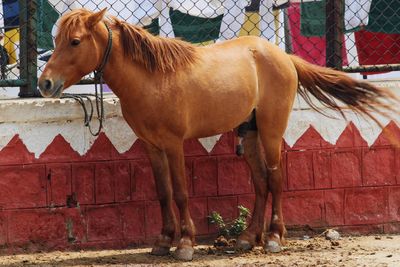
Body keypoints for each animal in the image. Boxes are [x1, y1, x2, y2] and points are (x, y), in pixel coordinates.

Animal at [39, 8, 398, 262]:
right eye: (56, 41)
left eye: (74, 41)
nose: (45, 83)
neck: (151, 77)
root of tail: (282, 56)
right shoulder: (152, 146)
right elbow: (163, 193)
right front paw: (163, 240)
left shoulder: (173, 144)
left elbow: (181, 193)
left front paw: (185, 244)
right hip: (250, 133)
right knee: (260, 183)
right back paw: (247, 239)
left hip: (271, 131)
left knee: (275, 179)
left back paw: (273, 238)